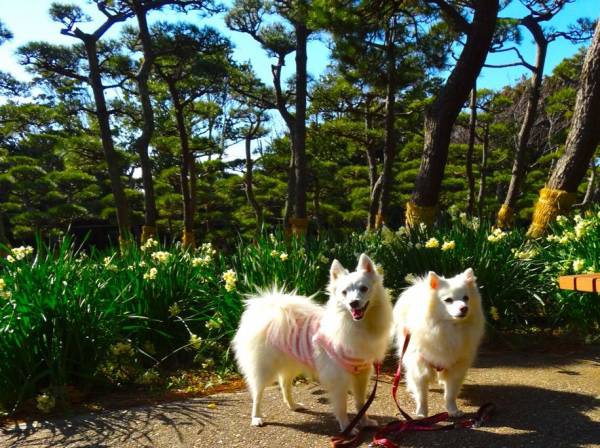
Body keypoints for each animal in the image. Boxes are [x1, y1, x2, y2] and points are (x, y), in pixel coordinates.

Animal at [231, 256, 394, 434]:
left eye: (364, 288)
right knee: (257, 394)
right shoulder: (338, 379)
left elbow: (361, 403)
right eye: (344, 293)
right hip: (264, 368)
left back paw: (293, 405)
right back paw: (256, 417)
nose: (353, 303)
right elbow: (342, 407)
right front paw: (347, 427)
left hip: (291, 363)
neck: (358, 325)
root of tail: (271, 311)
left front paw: (364, 421)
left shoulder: (361, 374)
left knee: (284, 384)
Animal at [392, 270, 486, 420]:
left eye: (466, 298)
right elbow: (422, 395)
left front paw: (453, 410)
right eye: (448, 300)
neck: (449, 328)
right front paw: (421, 414)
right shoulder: (420, 366)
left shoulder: (456, 366)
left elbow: (451, 394)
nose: (464, 308)